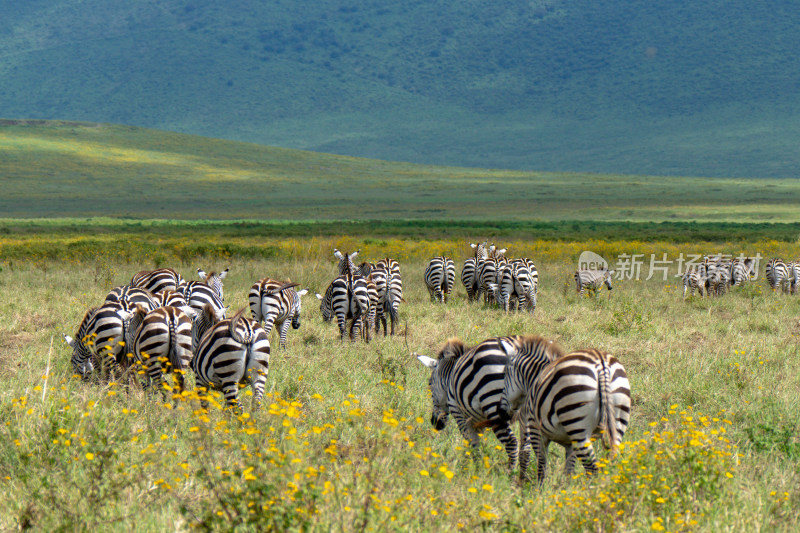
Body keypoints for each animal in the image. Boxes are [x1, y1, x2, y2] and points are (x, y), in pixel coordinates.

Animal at [500, 344, 632, 482]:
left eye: (505, 373)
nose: (502, 412)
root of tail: (601, 365)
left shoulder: (535, 428)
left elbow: (540, 464)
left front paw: (539, 487)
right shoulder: (569, 443)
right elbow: (569, 470)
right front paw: (566, 487)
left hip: (577, 423)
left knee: (592, 469)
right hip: (616, 419)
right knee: (611, 464)